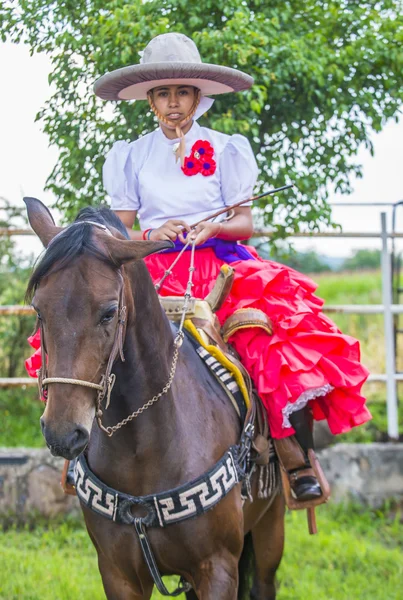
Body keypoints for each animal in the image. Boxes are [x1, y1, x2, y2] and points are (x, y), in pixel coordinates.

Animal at [25, 198, 286, 600]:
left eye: (109, 312)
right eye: (39, 310)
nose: (62, 434)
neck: (144, 449)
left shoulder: (218, 569)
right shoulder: (119, 574)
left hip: (271, 527)